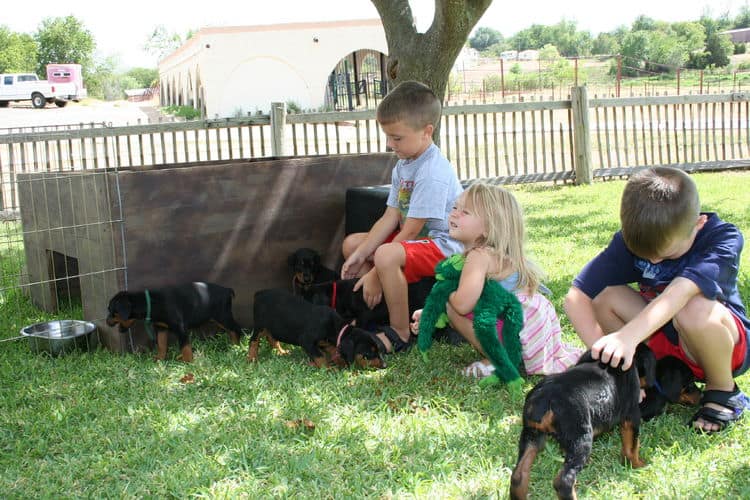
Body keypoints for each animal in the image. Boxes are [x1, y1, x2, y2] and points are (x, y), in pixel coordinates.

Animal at [106, 284, 244, 362]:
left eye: (112, 311)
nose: (106, 322)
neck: (151, 303)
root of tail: (227, 290)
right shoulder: (161, 327)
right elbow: (161, 344)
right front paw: (160, 359)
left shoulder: (180, 328)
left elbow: (185, 347)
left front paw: (188, 362)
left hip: (222, 316)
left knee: (236, 329)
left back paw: (236, 346)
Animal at [512, 344, 656, 500]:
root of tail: (546, 397)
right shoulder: (632, 416)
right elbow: (632, 446)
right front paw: (638, 465)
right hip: (580, 437)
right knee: (564, 481)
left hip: (532, 434)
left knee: (518, 475)